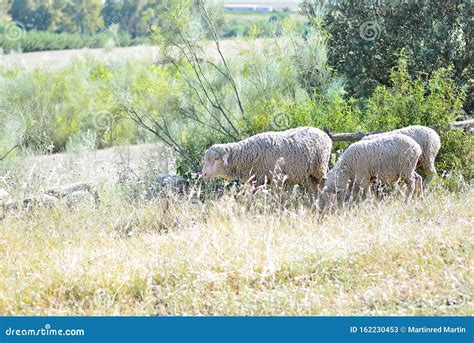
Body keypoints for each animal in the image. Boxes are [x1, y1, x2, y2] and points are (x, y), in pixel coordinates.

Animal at [202, 127, 332, 194]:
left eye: (216, 158)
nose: (203, 174)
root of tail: (324, 134)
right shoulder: (256, 181)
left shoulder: (276, 177)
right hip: (311, 174)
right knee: (316, 188)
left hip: (320, 168)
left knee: (324, 184)